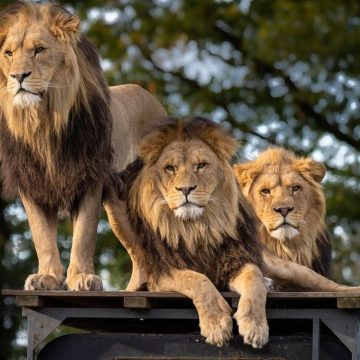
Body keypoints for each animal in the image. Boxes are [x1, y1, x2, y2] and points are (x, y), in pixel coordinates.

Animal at [0, 1, 166, 292]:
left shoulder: (89, 179)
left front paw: (82, 277)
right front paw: (47, 277)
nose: (18, 76)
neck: (44, 122)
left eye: (39, 50)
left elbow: (84, 235)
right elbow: (41, 236)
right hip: (119, 209)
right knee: (140, 252)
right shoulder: (31, 184)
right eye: (8, 54)